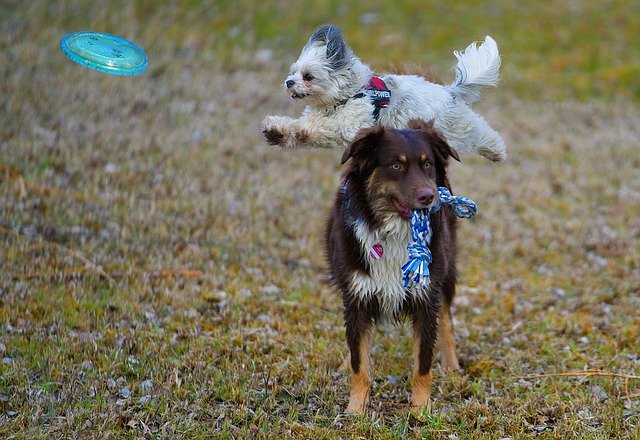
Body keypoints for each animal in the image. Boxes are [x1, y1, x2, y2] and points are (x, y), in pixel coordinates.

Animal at [260, 24, 504, 162]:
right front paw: (277, 130)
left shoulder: (351, 124)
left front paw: (305, 130)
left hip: (459, 129)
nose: (289, 82)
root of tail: (449, 92)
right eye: (293, 72)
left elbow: (324, 127)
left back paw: (497, 152)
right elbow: (296, 126)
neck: (346, 97)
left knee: (483, 134)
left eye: (308, 76)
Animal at [324, 119, 460, 412]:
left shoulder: (426, 295)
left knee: (446, 318)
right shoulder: (357, 295)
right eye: (396, 165)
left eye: (428, 164)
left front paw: (421, 410)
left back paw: (452, 365)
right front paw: (355, 409)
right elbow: (359, 361)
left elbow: (423, 363)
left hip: (447, 271)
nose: (429, 196)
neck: (393, 231)